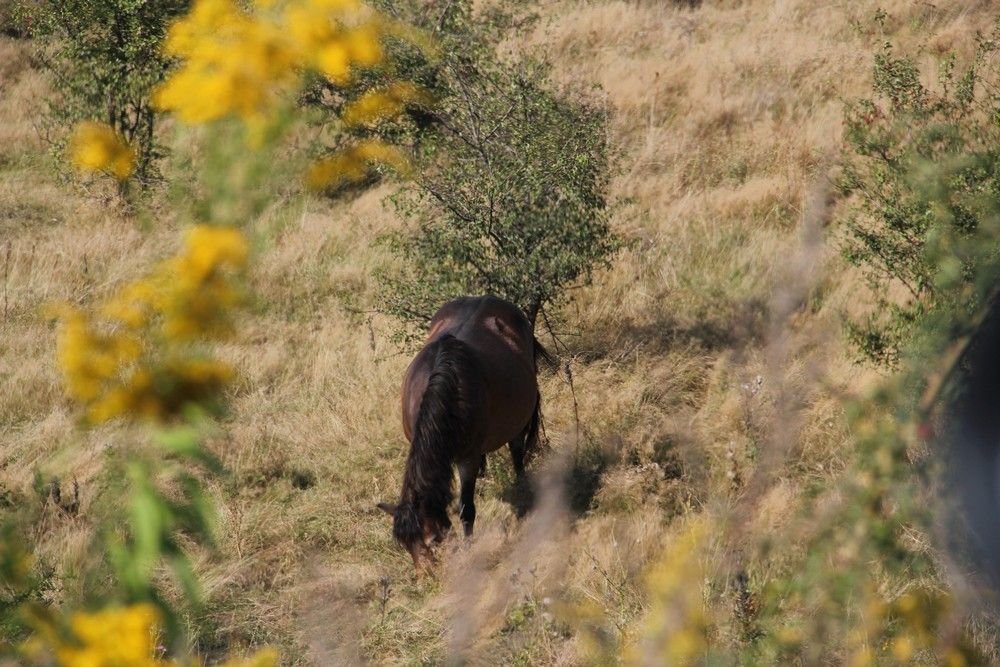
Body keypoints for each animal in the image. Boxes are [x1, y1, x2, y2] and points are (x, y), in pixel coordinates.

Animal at [376, 296, 548, 568]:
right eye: (405, 546)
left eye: (433, 540)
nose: (427, 576)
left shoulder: (467, 457)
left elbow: (466, 508)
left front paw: (468, 549)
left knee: (517, 450)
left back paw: (521, 484)